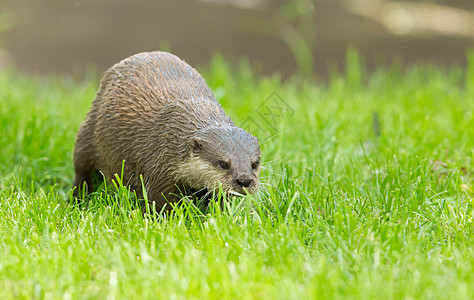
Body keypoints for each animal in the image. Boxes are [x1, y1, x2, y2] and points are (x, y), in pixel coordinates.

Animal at [72, 51, 262, 211]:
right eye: (223, 163)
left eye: (254, 164)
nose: (244, 180)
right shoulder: (158, 167)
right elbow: (160, 202)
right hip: (87, 134)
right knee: (81, 170)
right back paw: (78, 199)